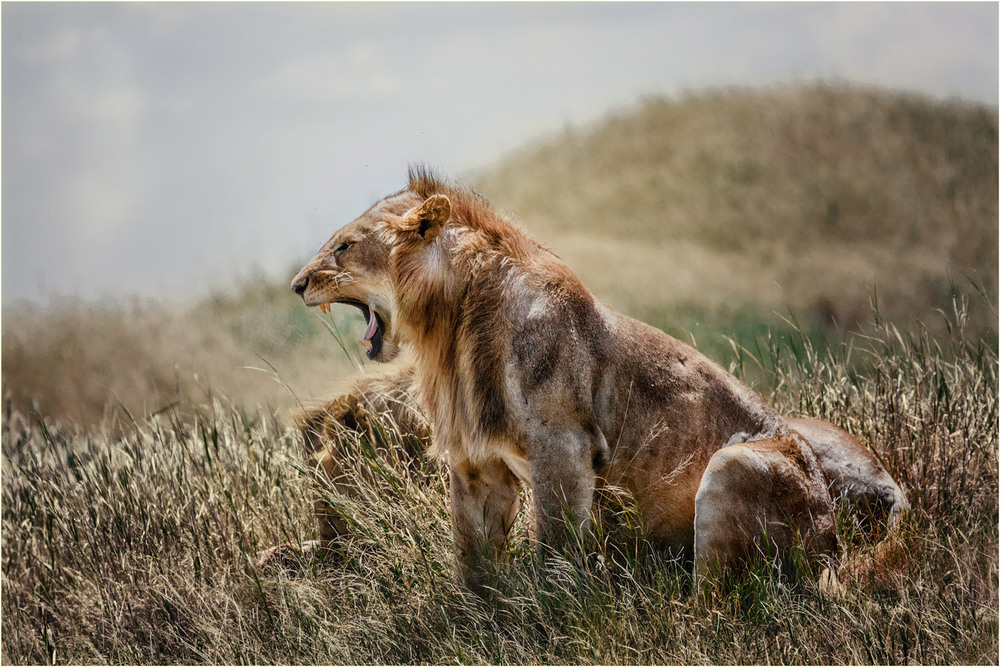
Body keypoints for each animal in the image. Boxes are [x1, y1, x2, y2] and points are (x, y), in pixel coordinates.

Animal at [284, 168, 908, 588]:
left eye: (345, 246)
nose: (296, 285)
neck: (451, 325)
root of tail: (835, 541)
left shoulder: (562, 446)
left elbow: (555, 552)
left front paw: (549, 618)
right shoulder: (477, 462)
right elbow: (473, 563)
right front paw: (476, 622)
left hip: (738, 468)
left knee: (721, 602)